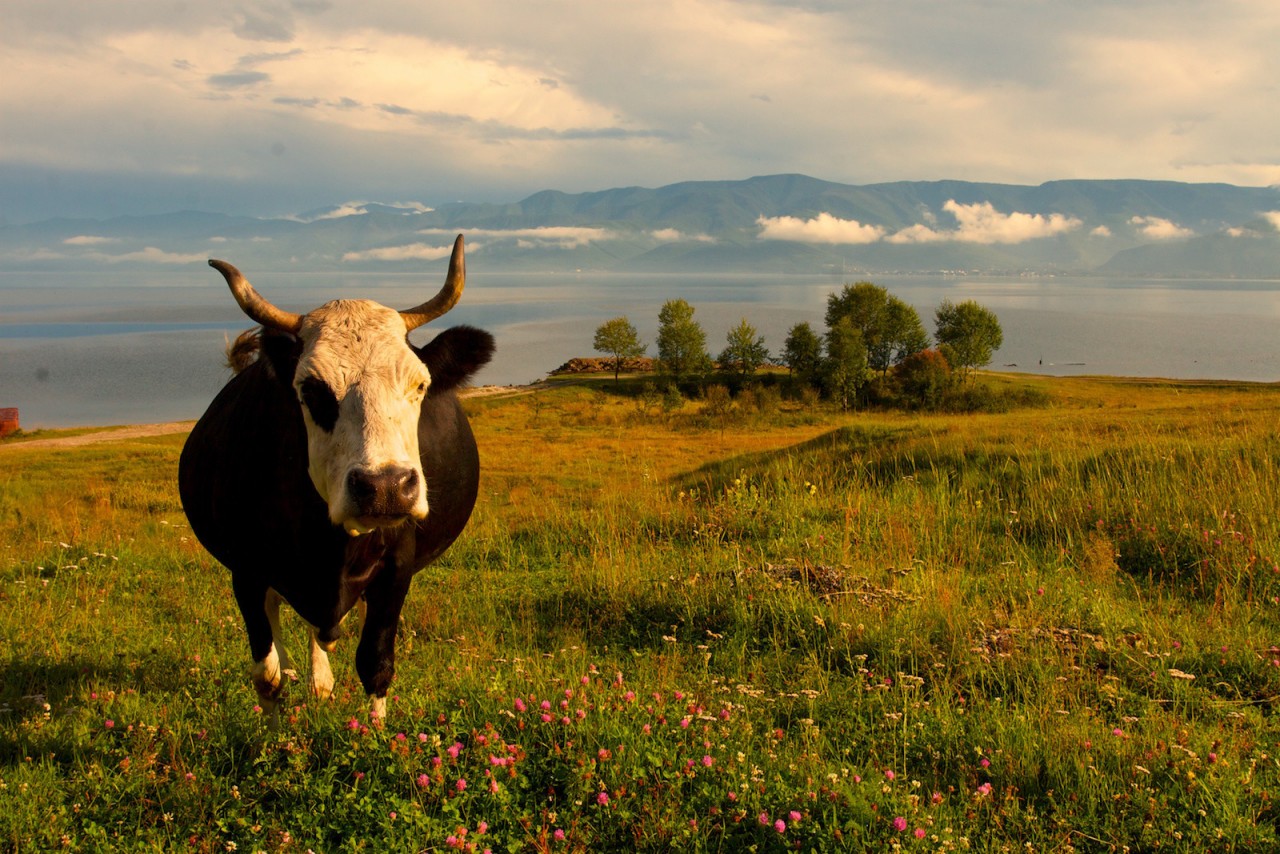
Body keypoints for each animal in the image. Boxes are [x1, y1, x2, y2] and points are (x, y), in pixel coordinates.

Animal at [172, 235, 486, 722]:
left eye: (419, 385)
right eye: (310, 390)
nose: (386, 487)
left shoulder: (398, 566)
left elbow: (376, 663)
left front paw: (375, 733)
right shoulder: (246, 568)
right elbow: (266, 673)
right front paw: (274, 733)